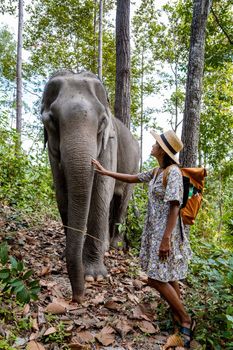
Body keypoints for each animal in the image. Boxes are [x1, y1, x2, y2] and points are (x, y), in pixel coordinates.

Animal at [41, 70, 139, 300]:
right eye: (51, 120)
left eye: (102, 121)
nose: (77, 297)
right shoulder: (52, 150)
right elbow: (62, 192)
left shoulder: (110, 142)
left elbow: (101, 190)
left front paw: (94, 276)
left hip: (134, 165)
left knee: (121, 200)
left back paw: (114, 247)